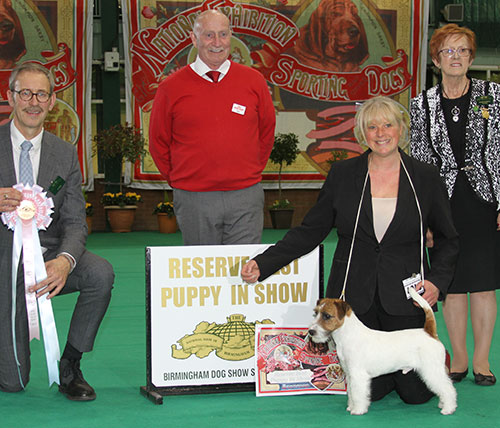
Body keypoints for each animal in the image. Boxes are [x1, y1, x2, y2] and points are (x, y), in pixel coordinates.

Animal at [308, 288, 458, 414]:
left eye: (327, 316)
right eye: (315, 313)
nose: (311, 331)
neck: (347, 335)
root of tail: (429, 332)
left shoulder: (358, 375)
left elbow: (358, 394)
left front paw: (358, 410)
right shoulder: (350, 375)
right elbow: (351, 392)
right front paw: (351, 406)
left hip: (432, 370)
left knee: (448, 388)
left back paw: (448, 408)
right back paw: (443, 404)